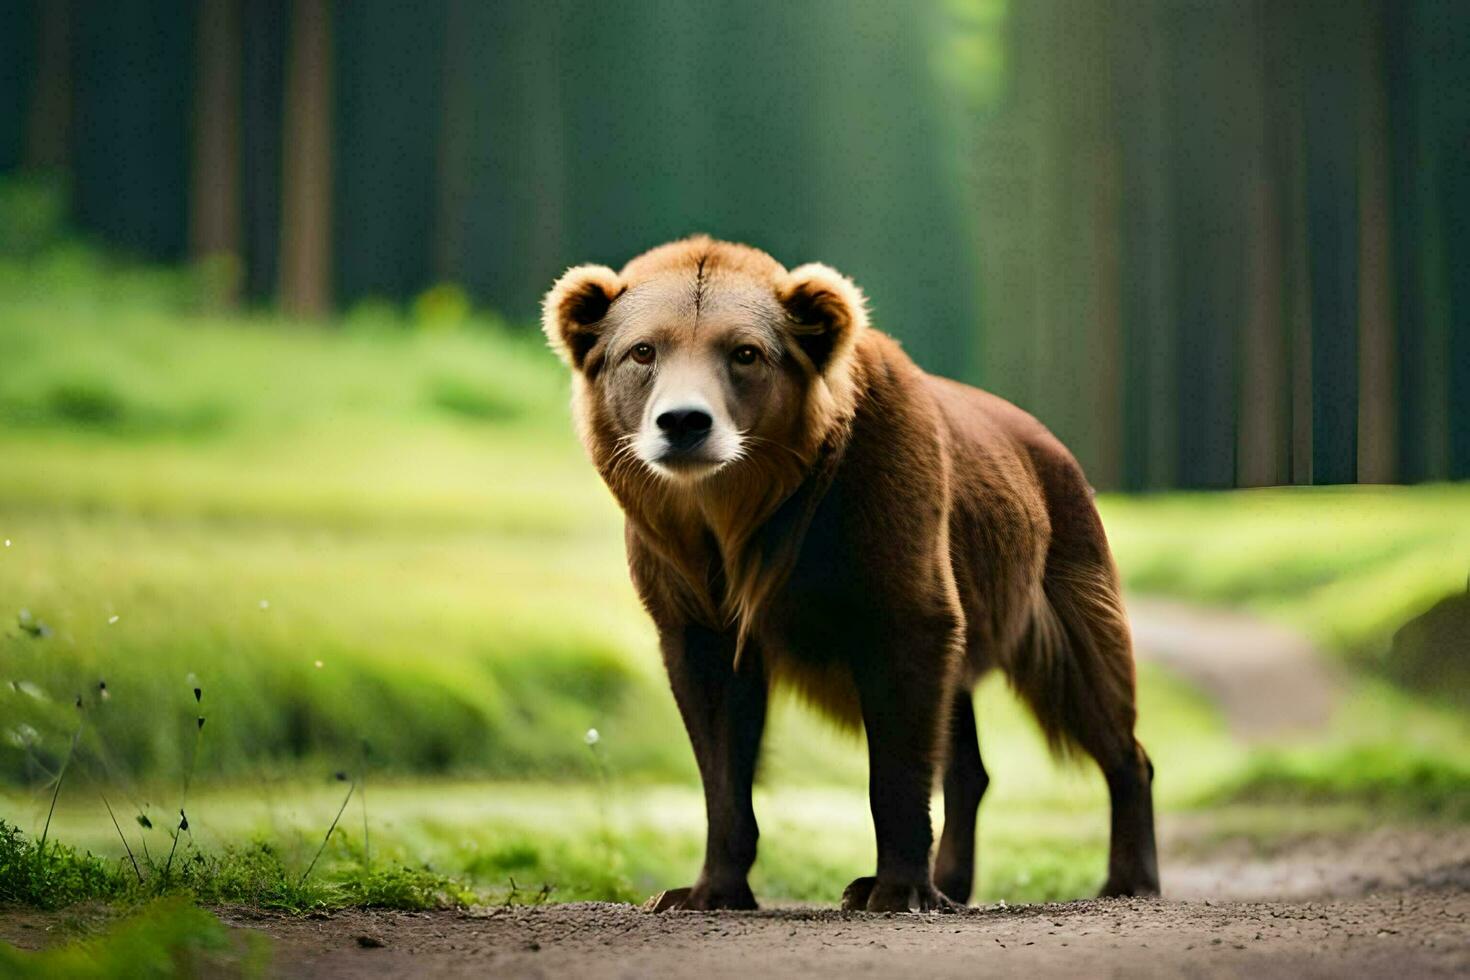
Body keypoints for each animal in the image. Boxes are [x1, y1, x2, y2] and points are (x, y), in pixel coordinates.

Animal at [540, 235, 1158, 910]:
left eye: (745, 352)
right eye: (643, 350)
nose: (683, 423)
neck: (743, 514)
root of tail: (1050, 442)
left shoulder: (884, 533)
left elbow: (902, 726)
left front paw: (893, 887)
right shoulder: (689, 584)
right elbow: (719, 736)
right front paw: (706, 888)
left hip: (1058, 571)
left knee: (1095, 693)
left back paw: (1127, 876)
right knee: (968, 755)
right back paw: (954, 879)